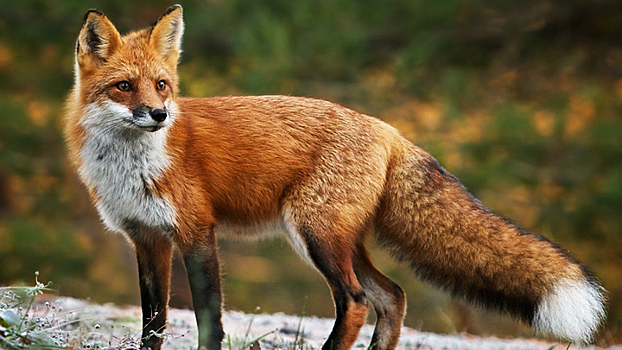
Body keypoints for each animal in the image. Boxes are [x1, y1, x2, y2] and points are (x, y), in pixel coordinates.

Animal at [66, 4, 608, 350]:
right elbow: (153, 324)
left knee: (356, 301)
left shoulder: (197, 231)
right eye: (123, 86)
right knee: (392, 296)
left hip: (317, 237)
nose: (159, 115)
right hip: (337, 241)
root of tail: (388, 129)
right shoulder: (146, 238)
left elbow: (208, 321)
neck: (132, 167)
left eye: (162, 85)